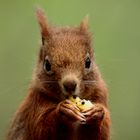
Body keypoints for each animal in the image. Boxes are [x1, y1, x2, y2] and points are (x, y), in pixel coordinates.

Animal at [6, 8, 110, 140]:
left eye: (88, 62)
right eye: (47, 65)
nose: (70, 84)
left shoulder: (100, 94)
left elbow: (102, 131)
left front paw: (97, 112)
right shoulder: (35, 104)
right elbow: (42, 128)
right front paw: (64, 111)